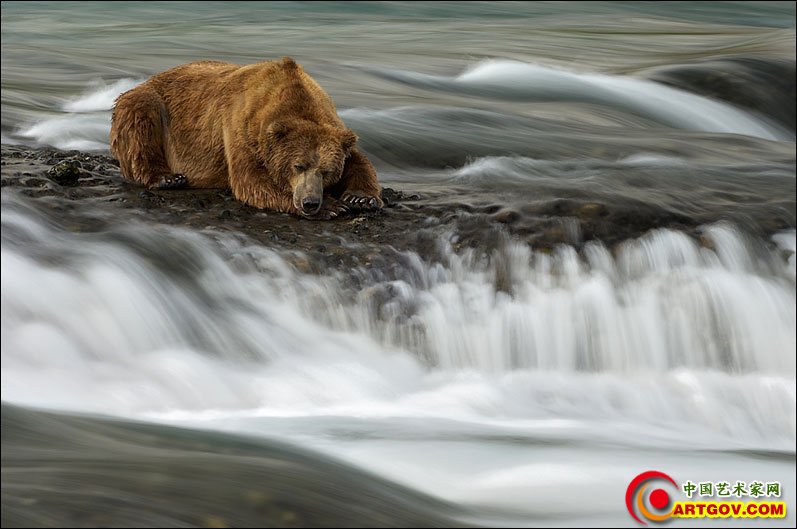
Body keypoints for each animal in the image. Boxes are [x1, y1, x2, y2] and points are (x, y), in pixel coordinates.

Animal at [109, 55, 382, 217]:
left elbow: (359, 161)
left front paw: (360, 198)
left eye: (326, 171)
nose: (310, 202)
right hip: (148, 103)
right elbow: (251, 181)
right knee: (141, 121)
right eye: (298, 165)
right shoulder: (239, 125)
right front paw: (333, 207)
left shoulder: (334, 126)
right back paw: (169, 178)